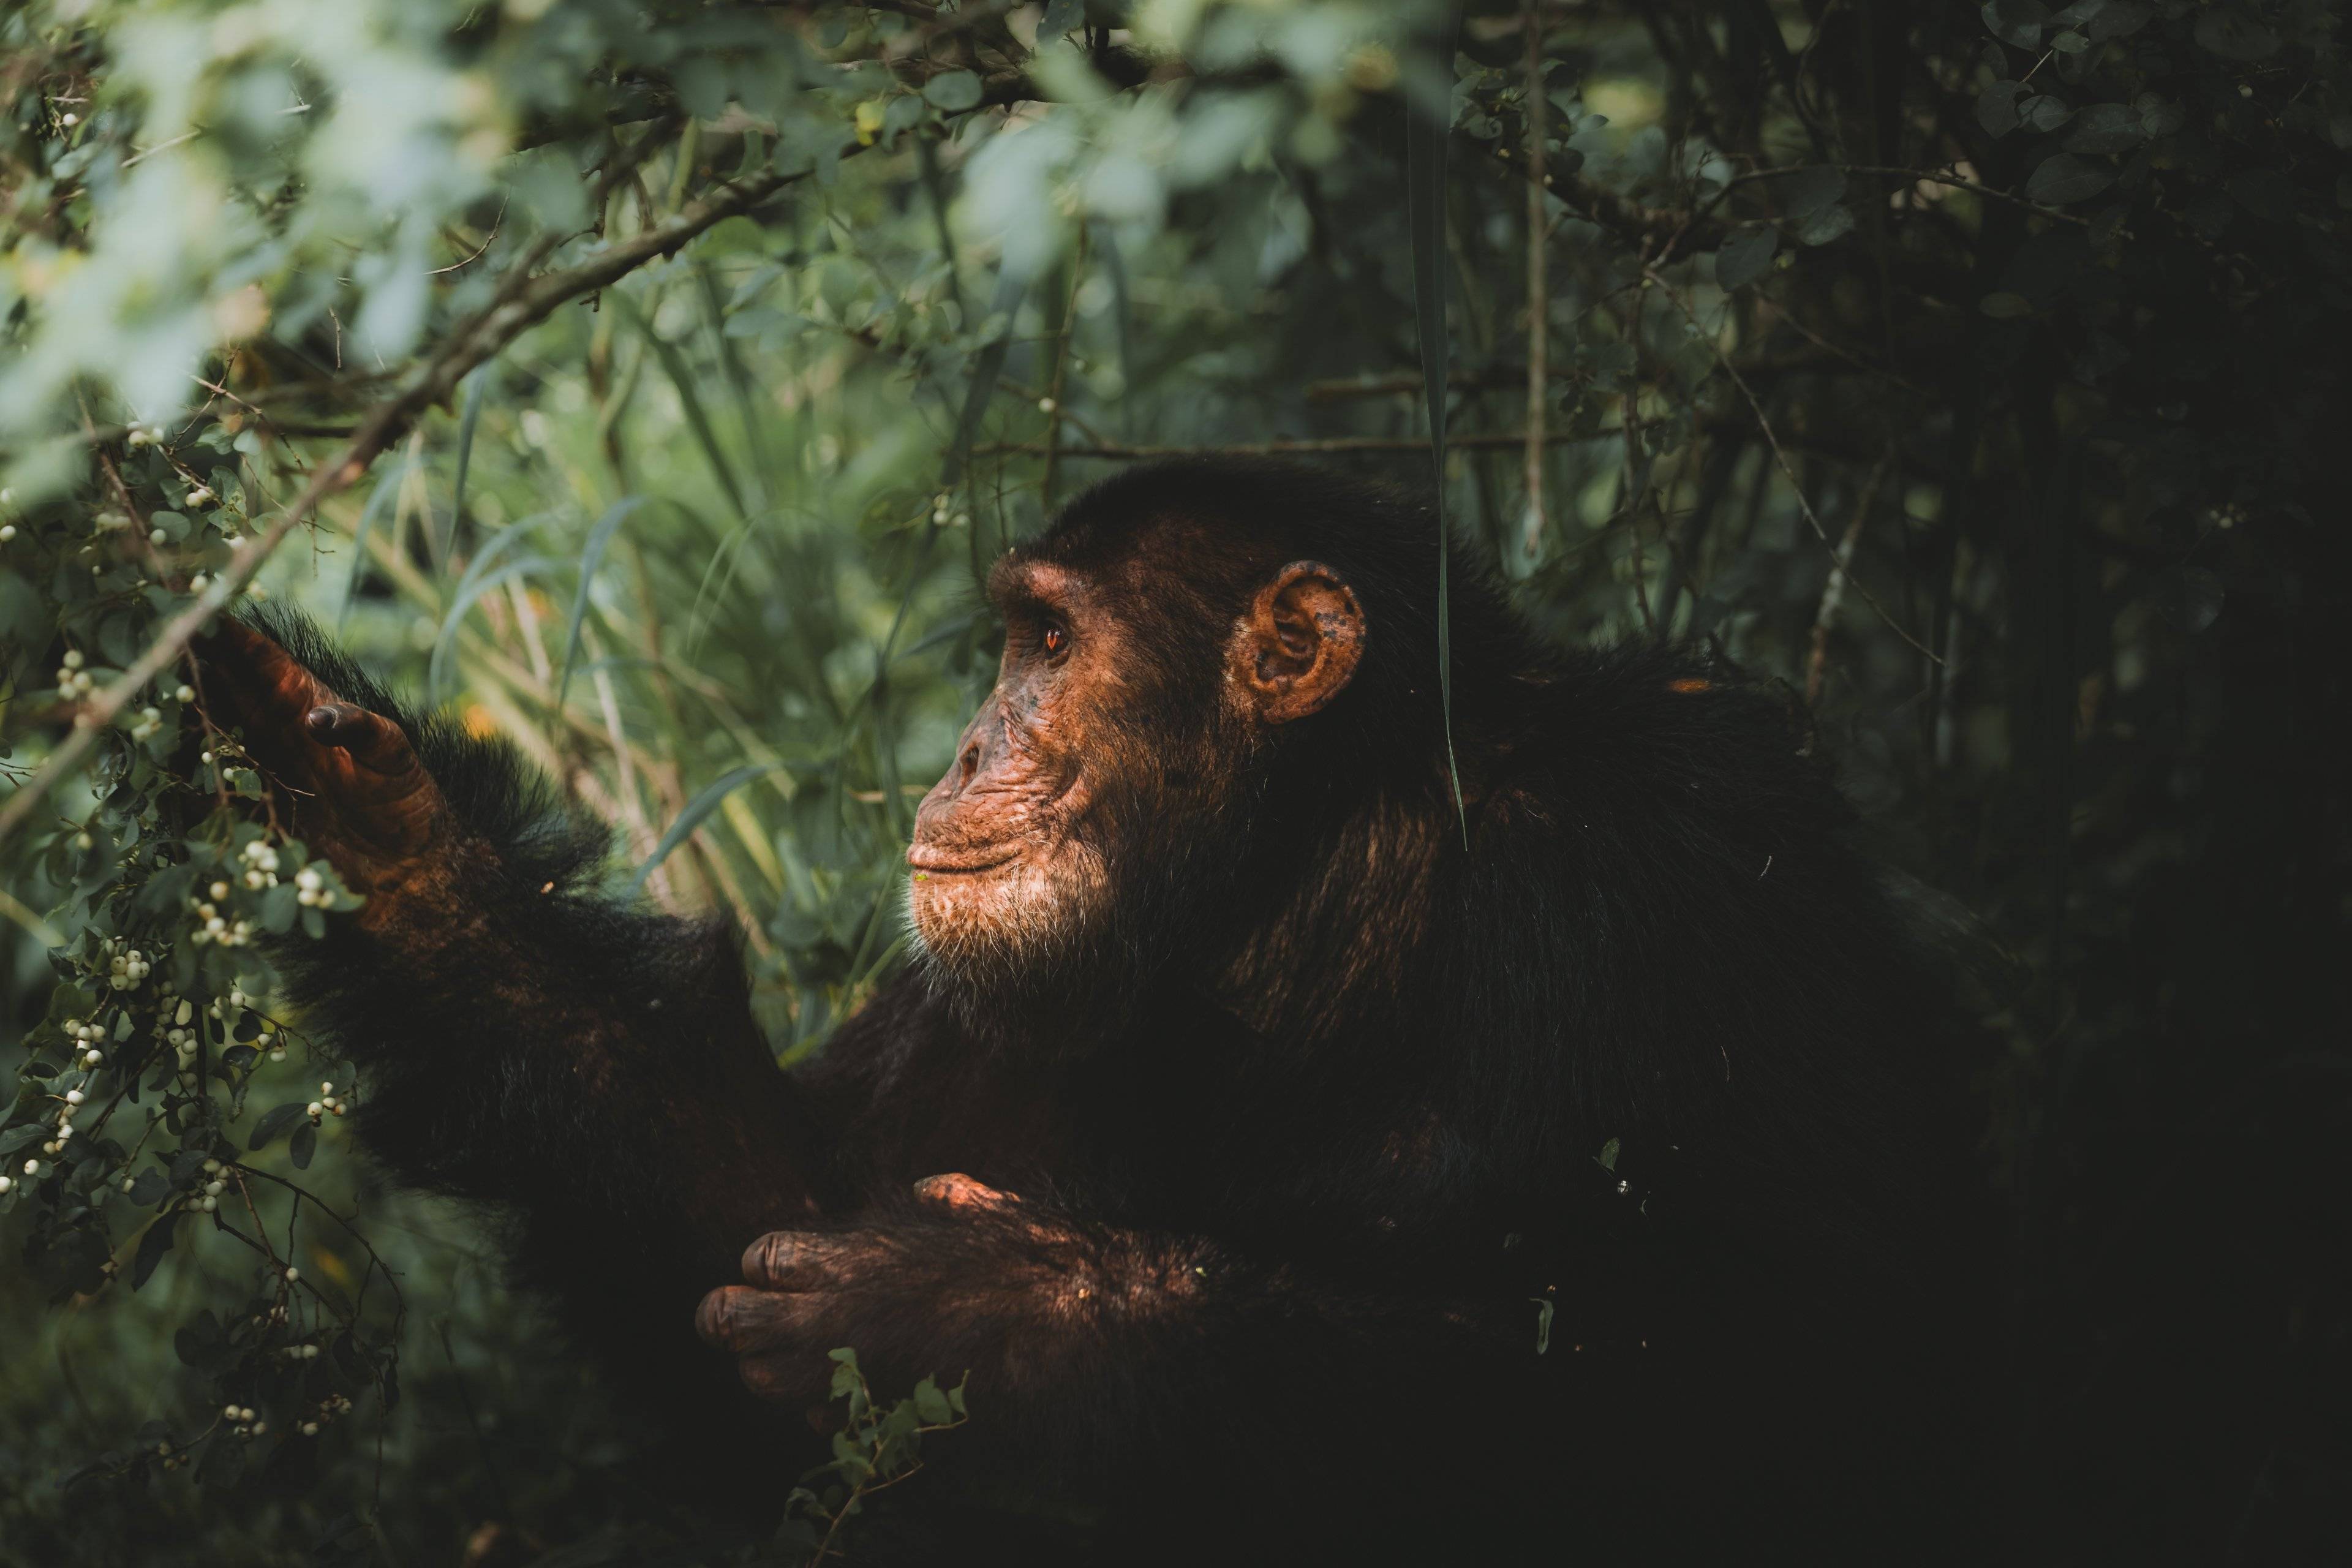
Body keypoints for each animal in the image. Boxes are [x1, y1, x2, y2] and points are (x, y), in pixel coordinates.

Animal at [197, 461, 1985, 1561]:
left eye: (1048, 641)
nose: (968, 738)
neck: (1302, 868)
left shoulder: (1675, 875)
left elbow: (1757, 1341)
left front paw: (978, 1306)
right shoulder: (967, 1004)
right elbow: (751, 1225)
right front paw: (393, 830)